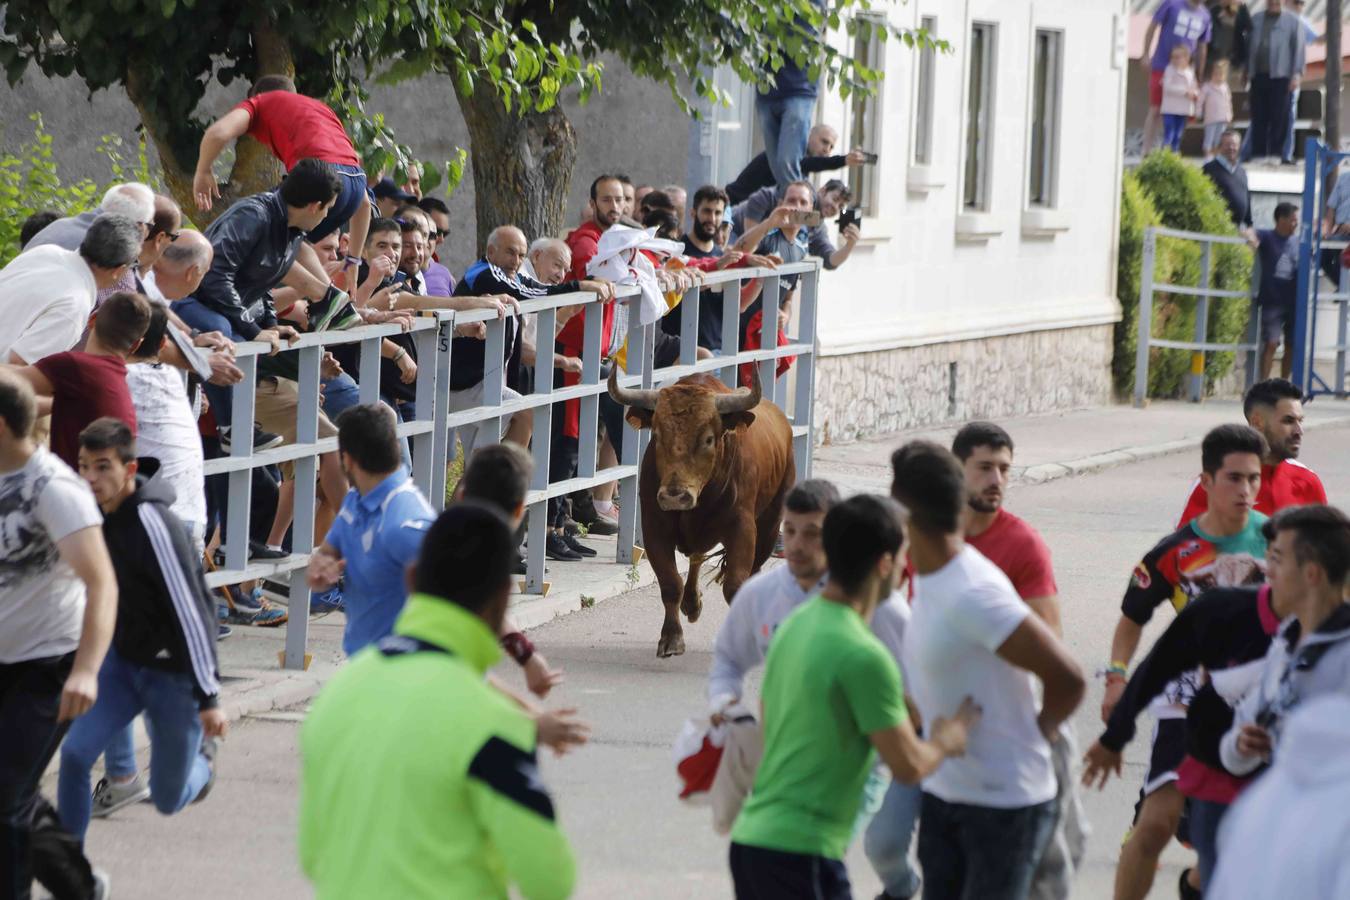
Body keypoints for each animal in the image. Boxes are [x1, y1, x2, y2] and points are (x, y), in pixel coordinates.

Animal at [610, 369, 788, 658]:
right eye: (657, 434)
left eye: (708, 439)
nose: (675, 495)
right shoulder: (654, 527)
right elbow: (671, 584)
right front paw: (671, 638)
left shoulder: (743, 529)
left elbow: (735, 585)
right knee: (696, 557)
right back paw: (691, 604)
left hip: (769, 527)